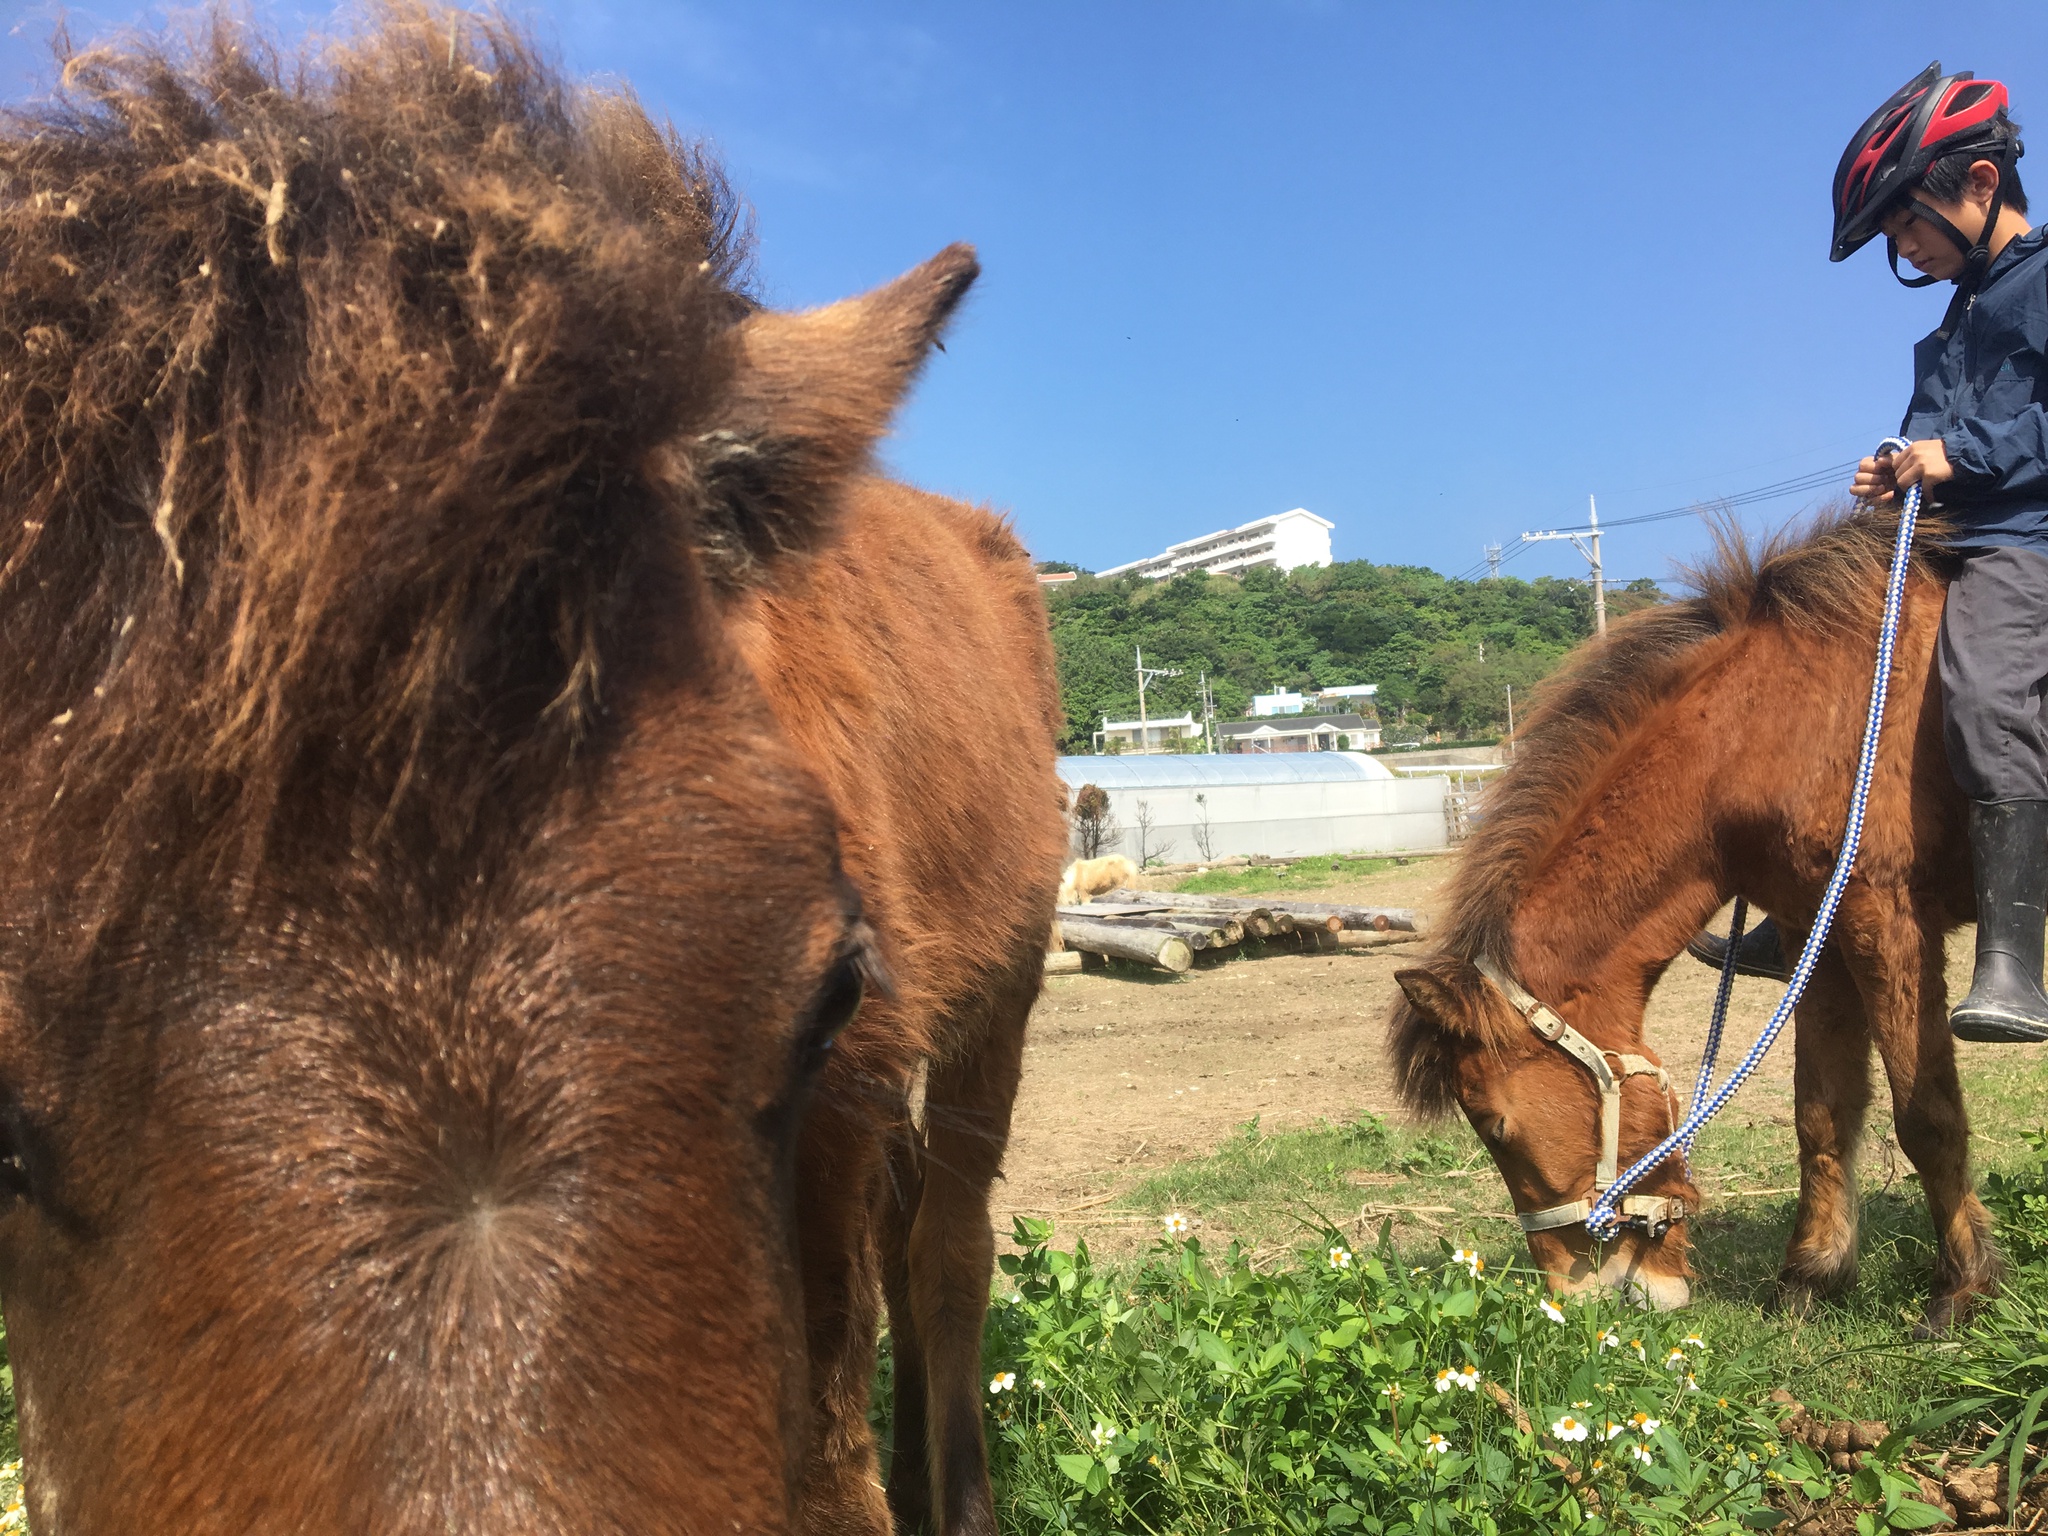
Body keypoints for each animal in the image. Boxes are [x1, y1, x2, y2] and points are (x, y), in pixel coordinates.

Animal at [1384, 512, 1990, 1343]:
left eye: (1497, 1129)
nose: (1577, 1300)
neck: (1767, 725)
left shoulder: (1884, 918)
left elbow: (1926, 1115)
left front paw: (1963, 1288)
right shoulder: (1818, 930)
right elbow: (1821, 1110)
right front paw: (1811, 1276)